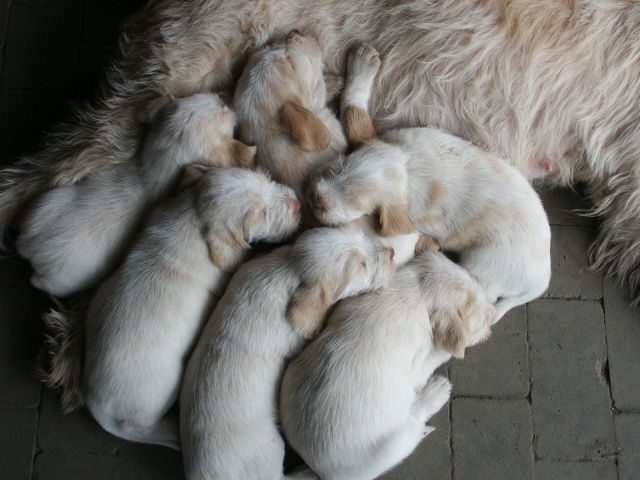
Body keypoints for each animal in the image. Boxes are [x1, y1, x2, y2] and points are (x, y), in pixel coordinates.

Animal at [16, 93, 256, 297]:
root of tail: (28, 246)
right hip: (64, 281)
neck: (154, 167)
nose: (223, 96)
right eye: (223, 108)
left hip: (42, 204)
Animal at [79, 166, 300, 450]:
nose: (298, 205)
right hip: (163, 391)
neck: (193, 216)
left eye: (266, 178)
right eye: (261, 213)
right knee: (138, 427)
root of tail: (96, 404)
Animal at [280, 236, 494, 480]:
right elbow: (446, 350)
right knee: (415, 419)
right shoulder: (421, 362)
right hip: (396, 440)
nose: (493, 314)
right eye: (471, 310)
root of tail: (316, 467)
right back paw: (437, 391)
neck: (418, 290)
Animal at [307, 44, 551, 322]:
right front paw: (363, 63)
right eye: (335, 168)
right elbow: (353, 110)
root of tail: (540, 283)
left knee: (482, 291)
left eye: (359, 206)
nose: (314, 199)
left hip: (484, 264)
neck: (406, 168)